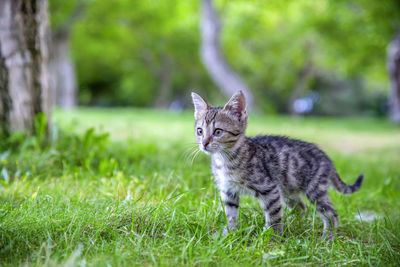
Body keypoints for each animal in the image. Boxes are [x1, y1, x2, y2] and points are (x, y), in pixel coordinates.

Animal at [192, 91, 364, 239]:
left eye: (218, 132)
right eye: (200, 131)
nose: (204, 143)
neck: (224, 159)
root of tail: (326, 158)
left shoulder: (269, 189)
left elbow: (273, 214)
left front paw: (273, 237)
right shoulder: (228, 190)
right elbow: (230, 214)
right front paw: (228, 233)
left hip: (314, 188)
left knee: (331, 213)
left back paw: (327, 237)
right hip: (289, 189)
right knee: (301, 206)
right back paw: (296, 223)